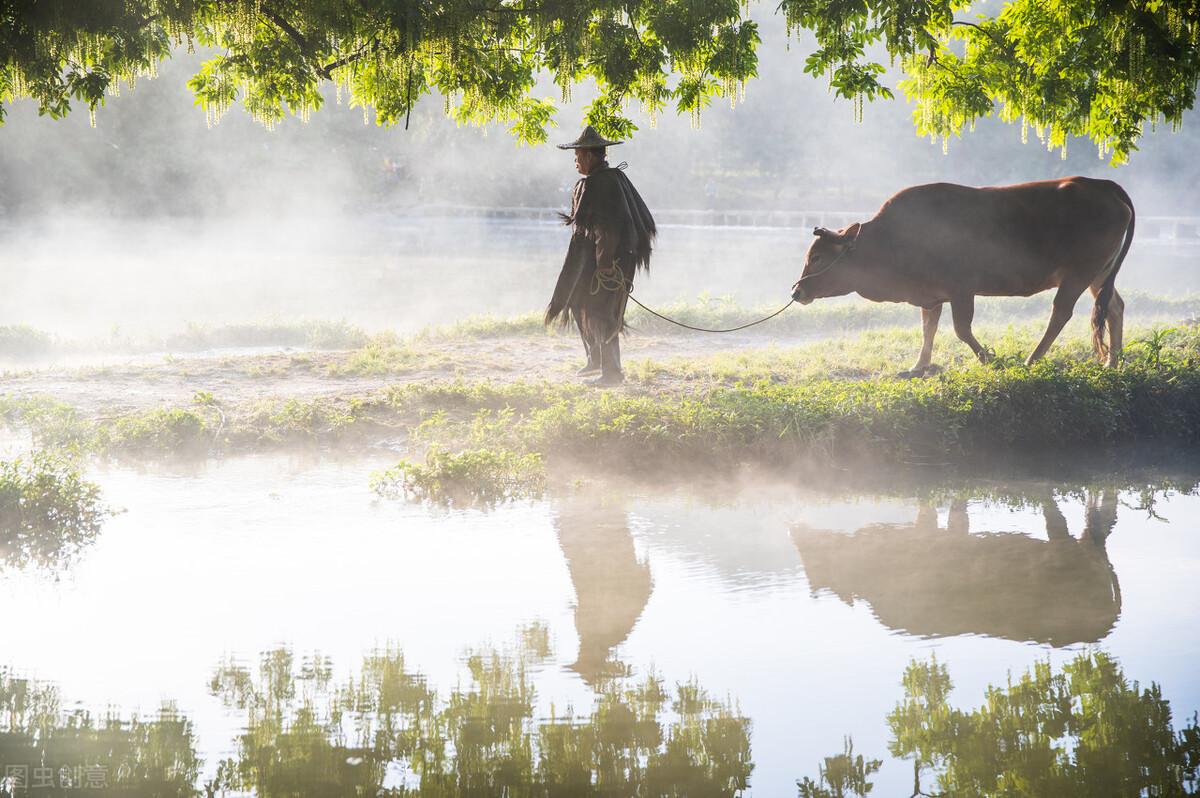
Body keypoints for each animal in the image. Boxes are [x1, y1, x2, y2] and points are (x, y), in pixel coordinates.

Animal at [792, 177, 1137, 374]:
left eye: (818, 257)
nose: (797, 291)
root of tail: (1101, 184)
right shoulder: (931, 296)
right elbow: (928, 329)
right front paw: (918, 366)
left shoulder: (962, 290)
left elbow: (960, 329)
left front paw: (988, 358)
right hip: (1100, 274)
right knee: (1114, 307)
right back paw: (1112, 361)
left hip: (1079, 273)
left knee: (1061, 313)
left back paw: (1032, 359)